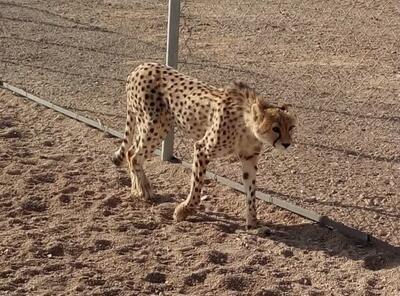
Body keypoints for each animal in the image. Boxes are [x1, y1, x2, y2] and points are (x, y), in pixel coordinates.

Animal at [111, 62, 296, 228]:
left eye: (291, 128)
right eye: (275, 128)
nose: (287, 144)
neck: (247, 125)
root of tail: (140, 67)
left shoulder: (249, 157)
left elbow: (251, 191)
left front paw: (253, 222)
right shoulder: (202, 149)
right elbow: (197, 184)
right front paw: (184, 211)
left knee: (131, 152)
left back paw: (136, 190)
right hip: (156, 126)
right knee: (134, 156)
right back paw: (144, 189)